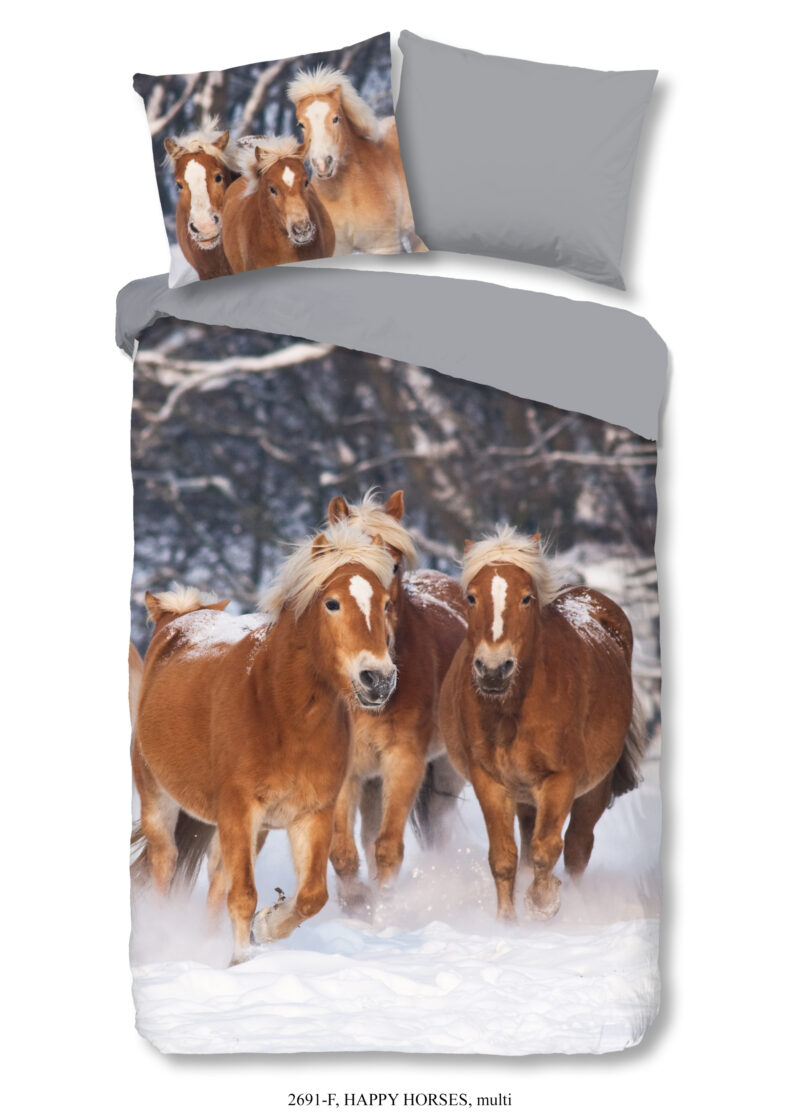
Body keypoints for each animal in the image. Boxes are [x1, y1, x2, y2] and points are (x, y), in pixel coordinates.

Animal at [131, 523, 396, 964]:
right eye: (332, 603)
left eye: (387, 603)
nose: (378, 678)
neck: (280, 713)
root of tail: (179, 618)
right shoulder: (241, 810)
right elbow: (242, 895)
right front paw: (242, 959)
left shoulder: (310, 814)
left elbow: (311, 897)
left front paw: (266, 927)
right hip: (158, 799)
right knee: (164, 864)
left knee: (217, 878)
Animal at [324, 490, 467, 906]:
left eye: (396, 565)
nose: (378, 676)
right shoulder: (349, 771)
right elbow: (344, 852)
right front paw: (356, 904)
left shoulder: (404, 762)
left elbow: (387, 849)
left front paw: (385, 907)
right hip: (372, 781)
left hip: (446, 773)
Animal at [439, 527, 645, 922]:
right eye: (471, 597)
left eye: (526, 598)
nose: (493, 669)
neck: (513, 710)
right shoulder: (490, 781)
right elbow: (504, 857)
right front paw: (507, 922)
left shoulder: (560, 779)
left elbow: (547, 848)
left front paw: (543, 903)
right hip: (525, 796)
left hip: (594, 788)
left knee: (578, 846)